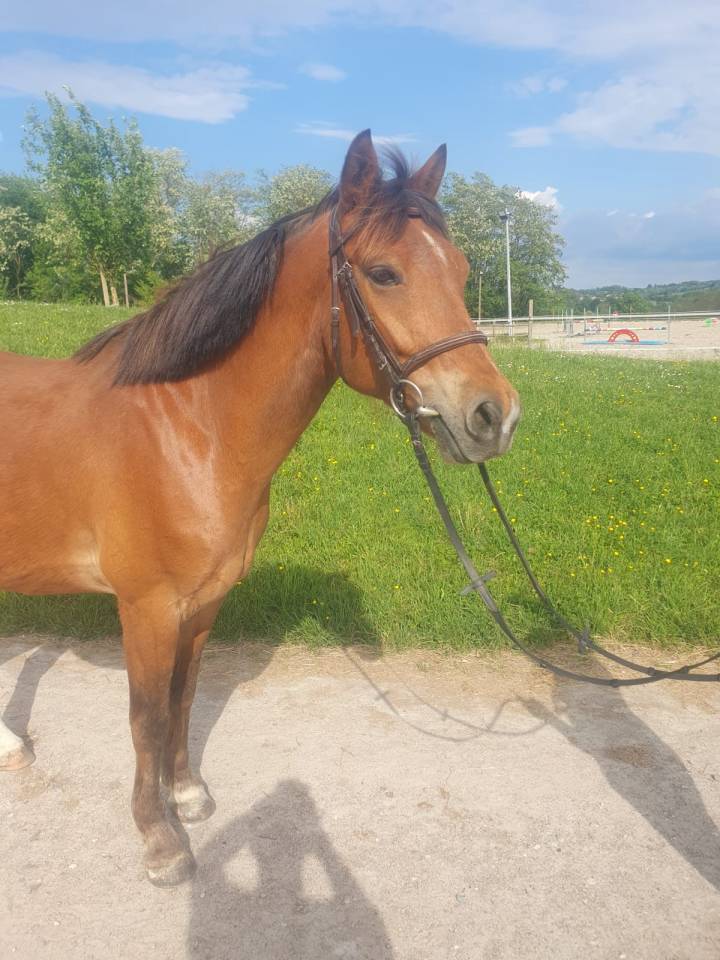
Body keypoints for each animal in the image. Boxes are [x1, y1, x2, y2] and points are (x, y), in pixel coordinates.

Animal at [0, 131, 520, 885]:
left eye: (461, 270)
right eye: (384, 273)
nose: (494, 416)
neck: (189, 427)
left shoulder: (204, 602)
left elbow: (185, 697)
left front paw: (187, 794)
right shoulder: (146, 607)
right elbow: (145, 715)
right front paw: (159, 839)